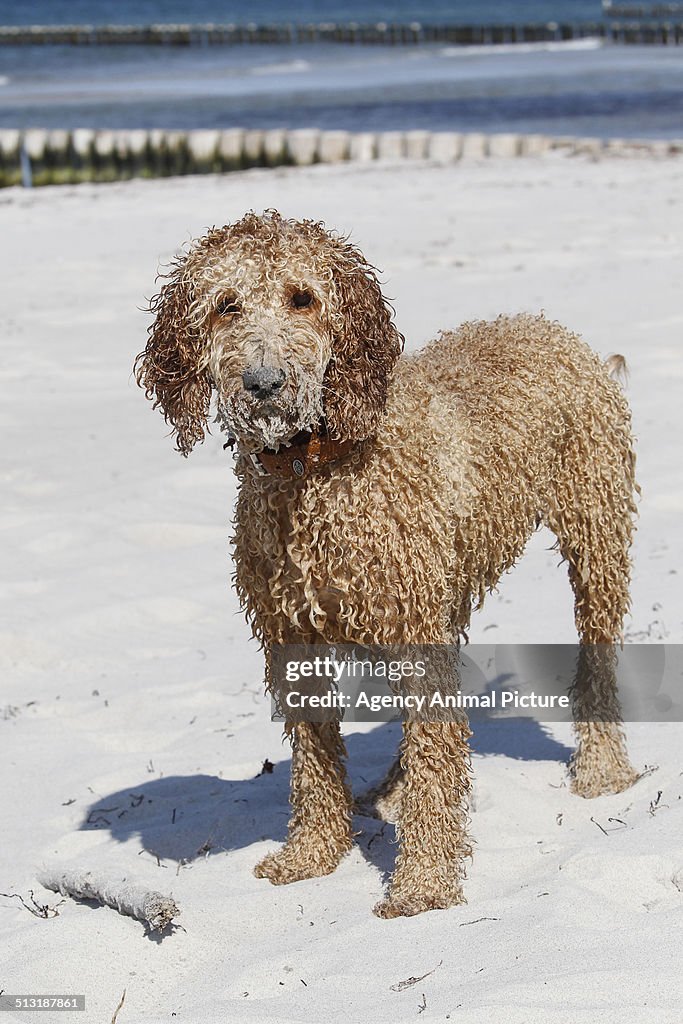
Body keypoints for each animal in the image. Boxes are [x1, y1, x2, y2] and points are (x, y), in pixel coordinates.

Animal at [135, 209, 643, 921]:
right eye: (226, 306)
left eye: (303, 298)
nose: (263, 383)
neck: (315, 468)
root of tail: (557, 331)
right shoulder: (292, 641)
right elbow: (317, 761)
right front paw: (313, 854)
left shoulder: (415, 628)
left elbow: (435, 758)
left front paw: (423, 886)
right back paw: (395, 791)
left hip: (595, 536)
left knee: (594, 660)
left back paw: (600, 768)